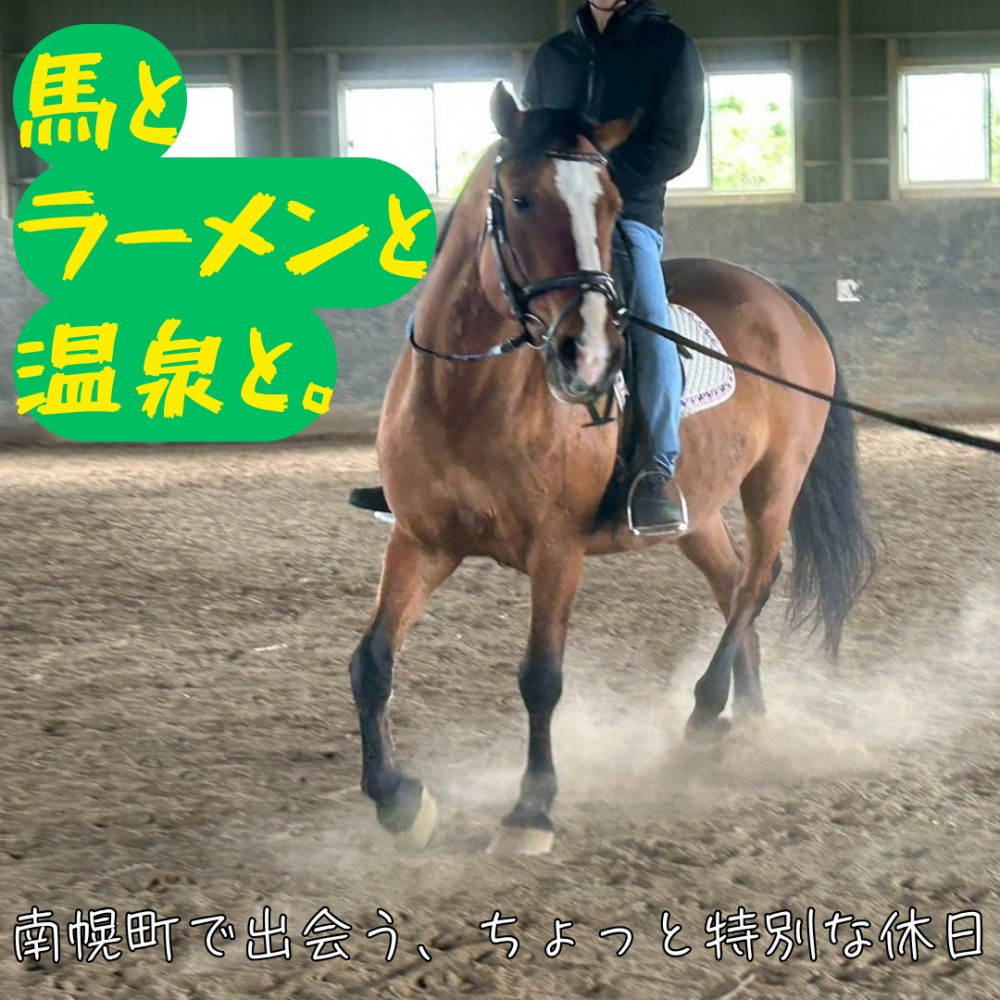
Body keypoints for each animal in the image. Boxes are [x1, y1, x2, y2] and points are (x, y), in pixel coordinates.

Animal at [347, 84, 874, 855]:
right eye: (521, 199)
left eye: (610, 205)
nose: (589, 356)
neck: (467, 395)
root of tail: (778, 296)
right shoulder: (421, 540)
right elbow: (372, 663)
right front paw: (398, 801)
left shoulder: (556, 550)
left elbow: (541, 677)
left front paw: (531, 810)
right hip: (696, 509)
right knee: (732, 583)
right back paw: (744, 715)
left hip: (776, 481)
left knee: (756, 580)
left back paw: (704, 713)